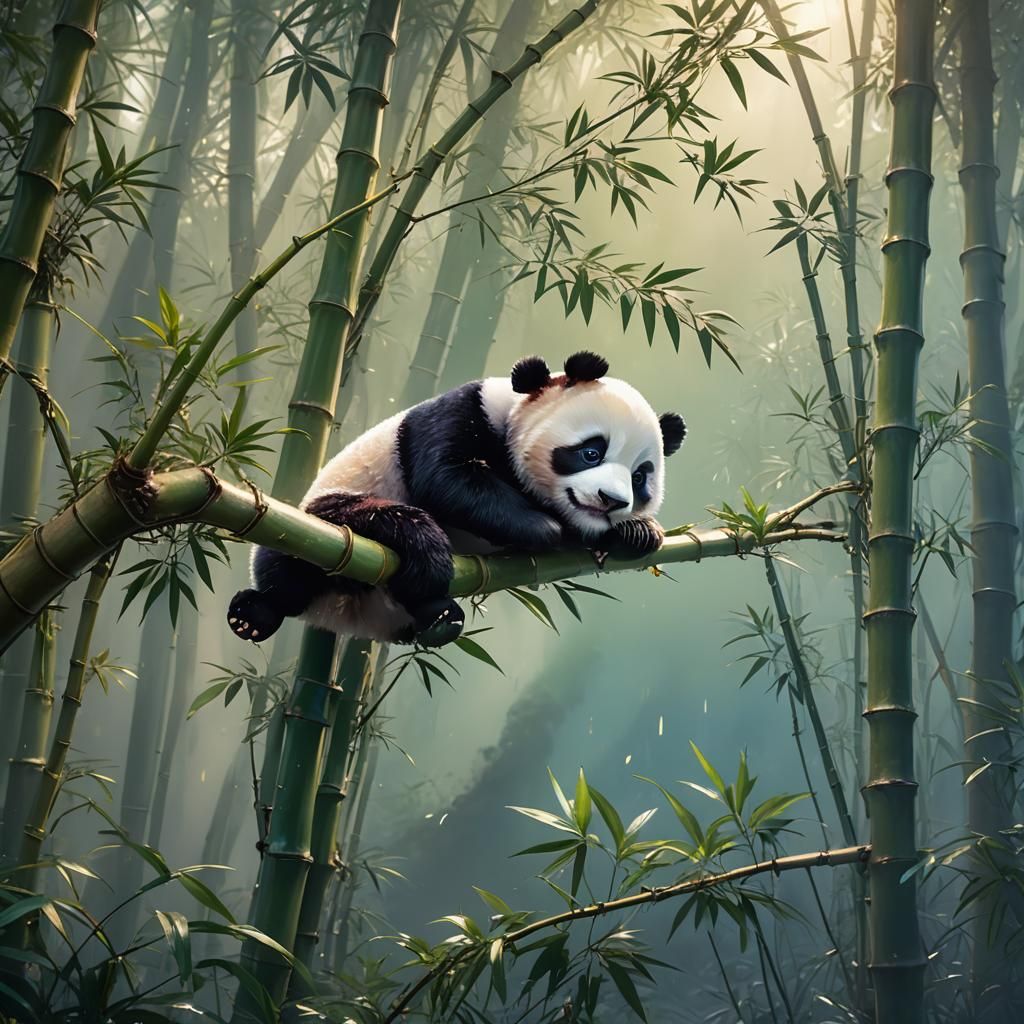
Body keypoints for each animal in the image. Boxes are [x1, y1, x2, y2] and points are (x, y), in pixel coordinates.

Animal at [227, 350, 686, 648]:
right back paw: (253, 615)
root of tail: (342, 616)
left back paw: (441, 619)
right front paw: (544, 527)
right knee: (299, 564)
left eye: (640, 477)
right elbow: (446, 477)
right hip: (327, 522)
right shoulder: (464, 411)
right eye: (592, 451)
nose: (611, 500)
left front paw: (638, 532)